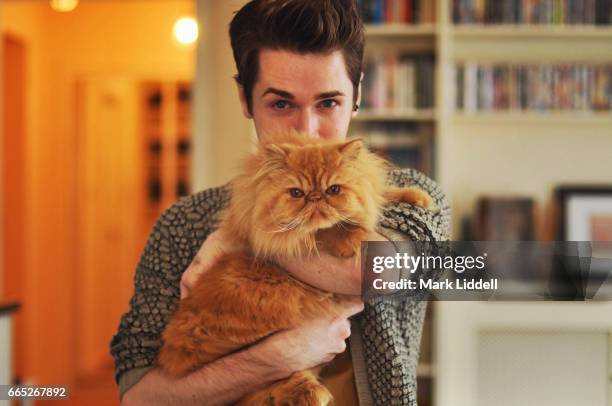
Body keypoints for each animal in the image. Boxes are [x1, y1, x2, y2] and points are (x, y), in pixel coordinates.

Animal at [158, 132, 436, 402]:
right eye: (296, 193)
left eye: (333, 189)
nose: (315, 198)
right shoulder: (277, 236)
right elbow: (325, 230)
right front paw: (350, 240)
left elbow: (380, 196)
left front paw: (418, 197)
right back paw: (312, 394)